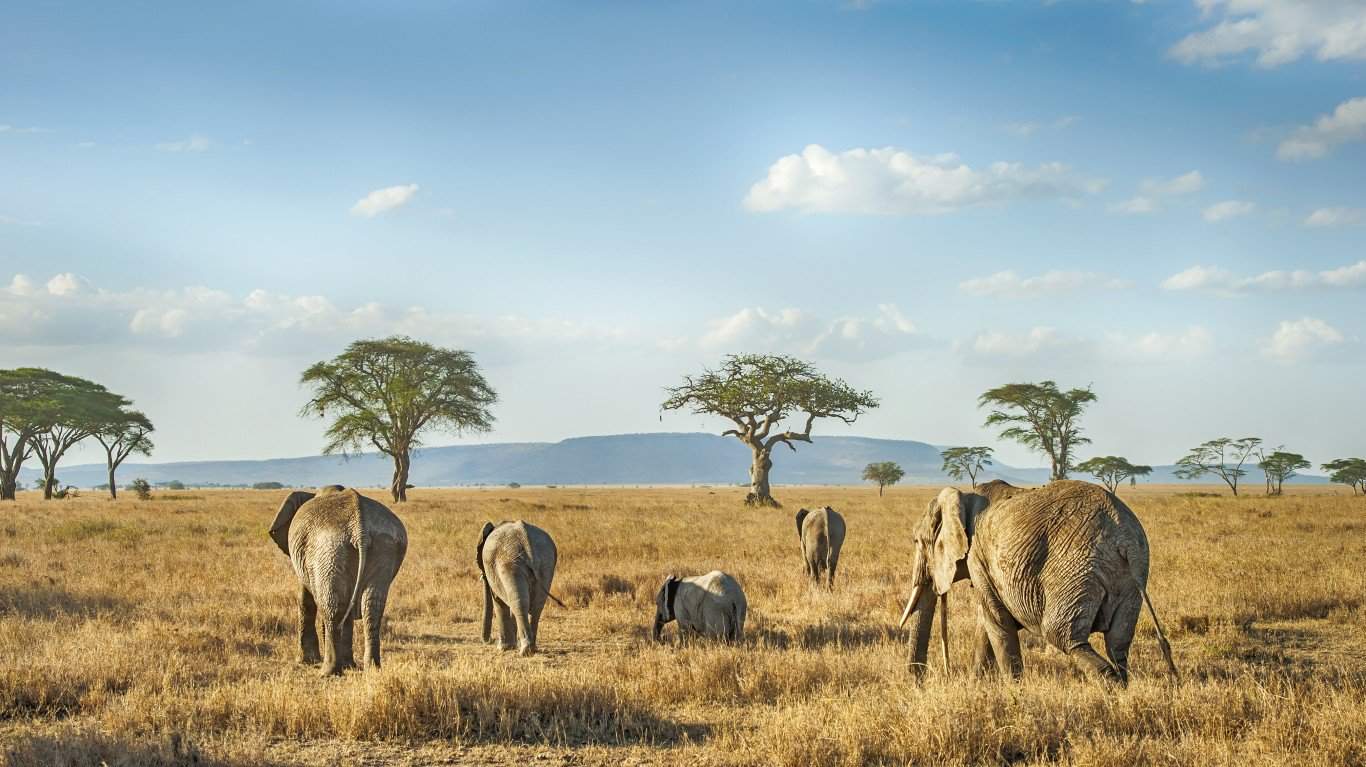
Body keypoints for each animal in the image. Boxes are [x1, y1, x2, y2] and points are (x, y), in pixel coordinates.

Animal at [268, 486, 407, 676]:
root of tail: (360, 529)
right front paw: (349, 665)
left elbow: (306, 599)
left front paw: (306, 661)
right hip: (384, 545)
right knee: (372, 606)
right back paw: (372, 669)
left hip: (329, 548)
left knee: (332, 606)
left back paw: (329, 672)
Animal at [477, 520, 559, 657]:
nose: (491, 640)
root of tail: (527, 541)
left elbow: (499, 602)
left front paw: (503, 648)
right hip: (545, 563)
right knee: (536, 607)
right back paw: (532, 649)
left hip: (510, 564)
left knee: (519, 604)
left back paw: (525, 651)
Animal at [897, 480, 1176, 685]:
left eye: (917, 541)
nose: (918, 682)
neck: (963, 496)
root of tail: (1124, 539)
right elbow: (987, 623)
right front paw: (977, 686)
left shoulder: (978, 556)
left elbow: (996, 622)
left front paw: (1015, 690)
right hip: (1132, 576)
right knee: (1118, 643)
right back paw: (1123, 686)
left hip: (1076, 567)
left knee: (1063, 636)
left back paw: (1110, 688)